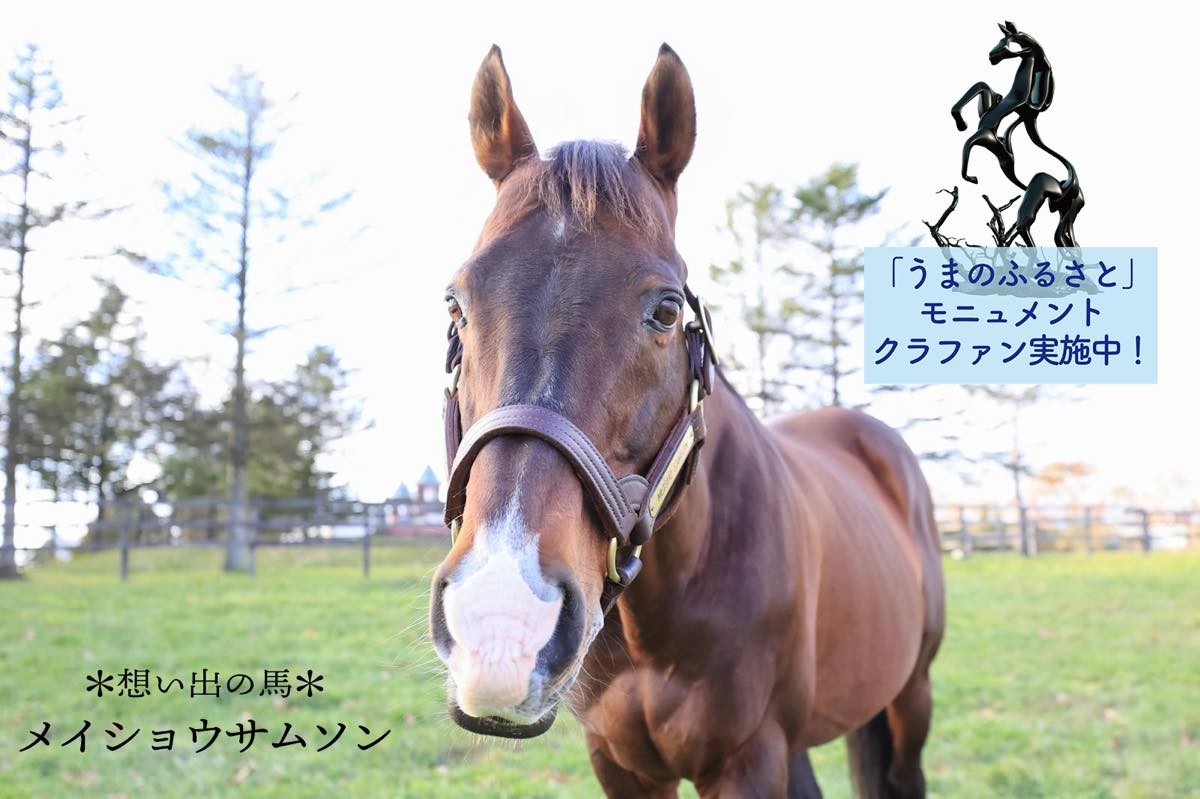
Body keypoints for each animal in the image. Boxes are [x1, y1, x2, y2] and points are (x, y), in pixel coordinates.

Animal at [428, 43, 945, 798]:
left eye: (667, 310)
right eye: (457, 305)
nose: (502, 620)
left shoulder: (747, 759)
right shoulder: (619, 761)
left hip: (911, 696)